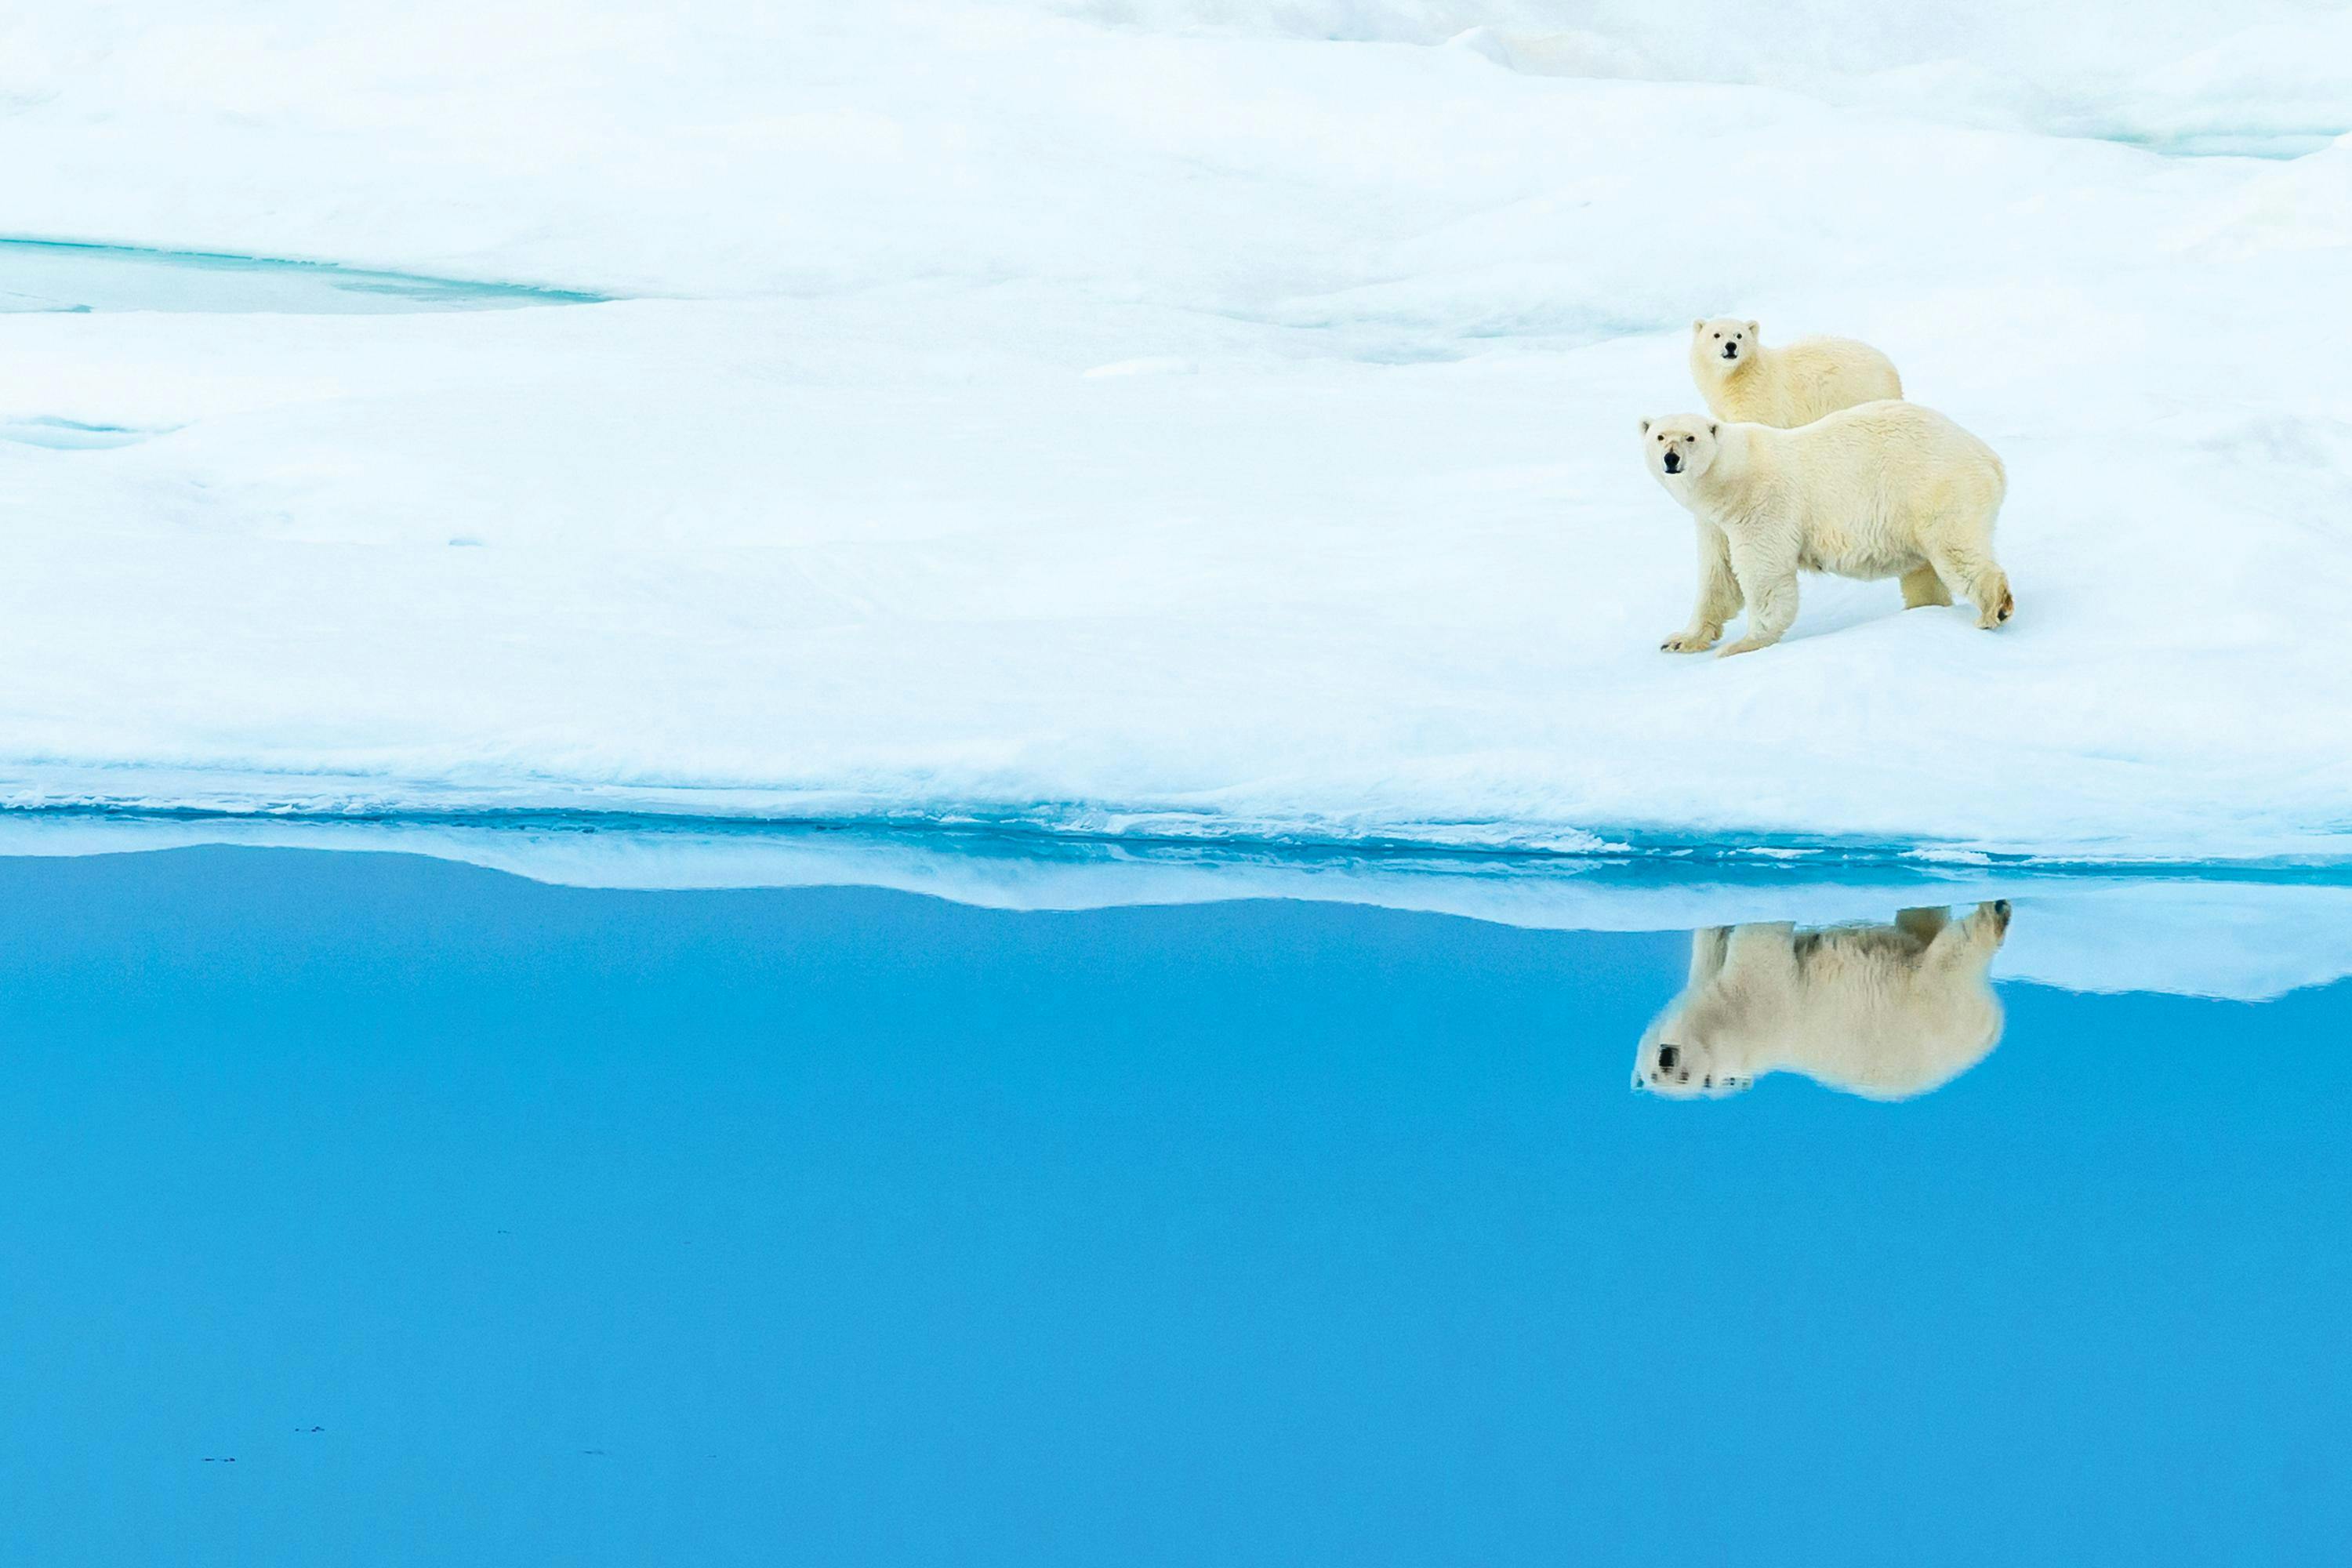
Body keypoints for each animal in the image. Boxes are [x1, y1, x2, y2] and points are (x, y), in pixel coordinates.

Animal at [1637, 902, 2004, 1109]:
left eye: (1685, 1077)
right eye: (1654, 1074)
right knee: (1936, 941)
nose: (1668, 1060)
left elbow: (1746, 941)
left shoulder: (1756, 998)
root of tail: (1991, 1025)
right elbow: (1736, 946)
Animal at [1646, 404, 2013, 658]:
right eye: (1659, 436)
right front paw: (1679, 640)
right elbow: (1718, 577)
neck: (1730, 476)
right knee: (1925, 572)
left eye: (1691, 437)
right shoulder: (1714, 522)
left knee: (1956, 552)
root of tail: (1991, 458)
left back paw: (1993, 608)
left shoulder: (1762, 505)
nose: (1671, 458)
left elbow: (1764, 574)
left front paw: (1744, 644)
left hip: (1937, 489)